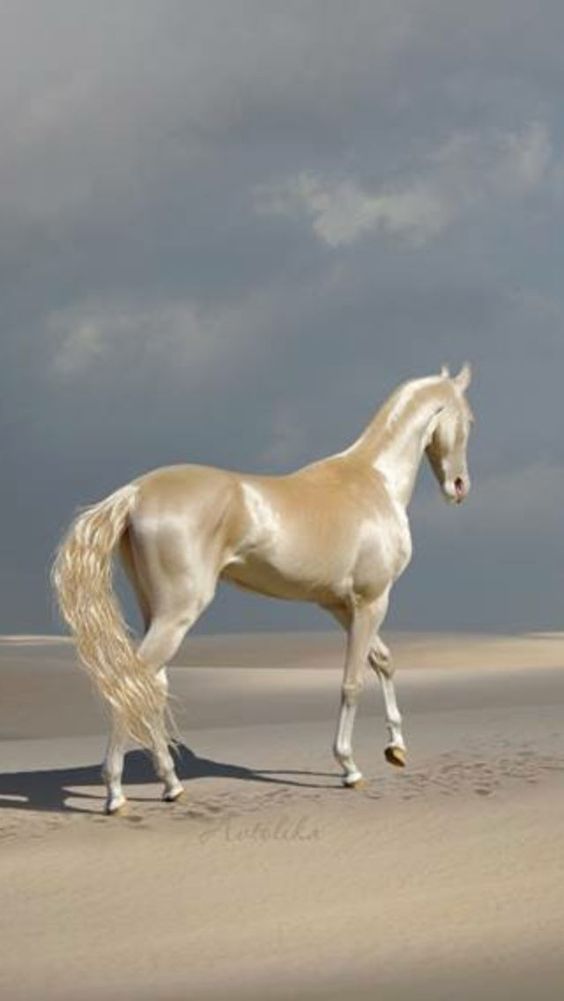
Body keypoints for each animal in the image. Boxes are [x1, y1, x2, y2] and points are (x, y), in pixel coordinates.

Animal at [52, 364, 473, 814]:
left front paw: (396, 748)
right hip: (177, 615)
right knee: (132, 684)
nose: (459, 486)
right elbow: (353, 682)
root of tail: (135, 492)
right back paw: (115, 793)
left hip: (156, 613)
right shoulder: (371, 601)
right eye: (468, 420)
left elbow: (384, 661)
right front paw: (349, 767)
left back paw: (171, 784)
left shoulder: (341, 606)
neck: (373, 482)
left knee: (150, 687)